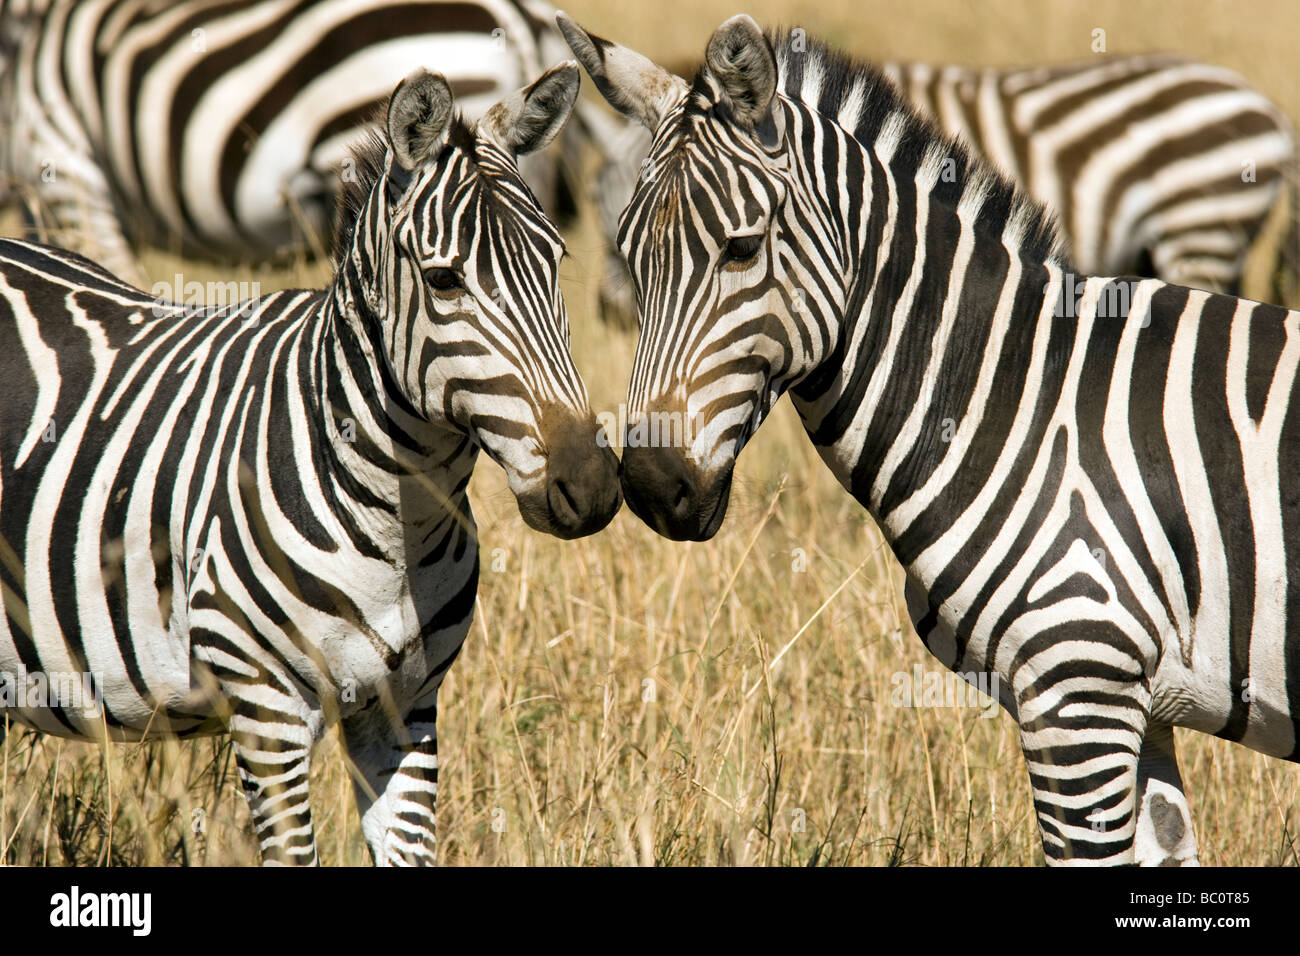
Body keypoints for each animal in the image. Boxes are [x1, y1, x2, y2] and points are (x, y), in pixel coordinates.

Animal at [0, 61, 621, 864]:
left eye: (557, 263)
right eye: (445, 281)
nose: (591, 485)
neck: (399, 518)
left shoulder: (405, 707)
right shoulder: (266, 709)